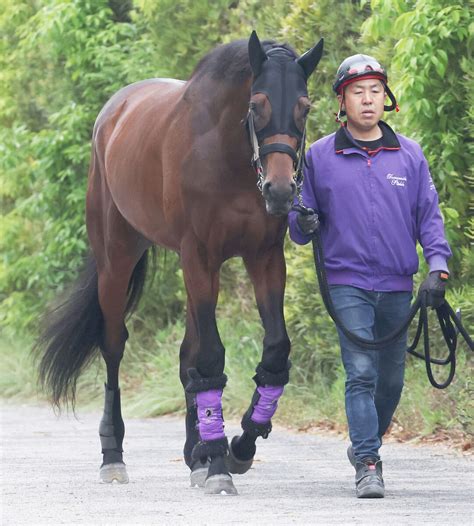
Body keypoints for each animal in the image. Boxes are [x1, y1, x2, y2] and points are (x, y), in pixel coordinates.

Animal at [39, 31, 324, 498]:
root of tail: (113, 113)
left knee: (185, 355)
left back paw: (198, 454)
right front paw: (221, 465)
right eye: (256, 104)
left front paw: (237, 446)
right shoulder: (200, 256)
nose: (281, 190)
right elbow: (210, 357)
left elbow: (273, 352)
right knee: (114, 345)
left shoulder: (263, 257)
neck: (226, 152)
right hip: (117, 258)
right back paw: (114, 456)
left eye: (305, 107)